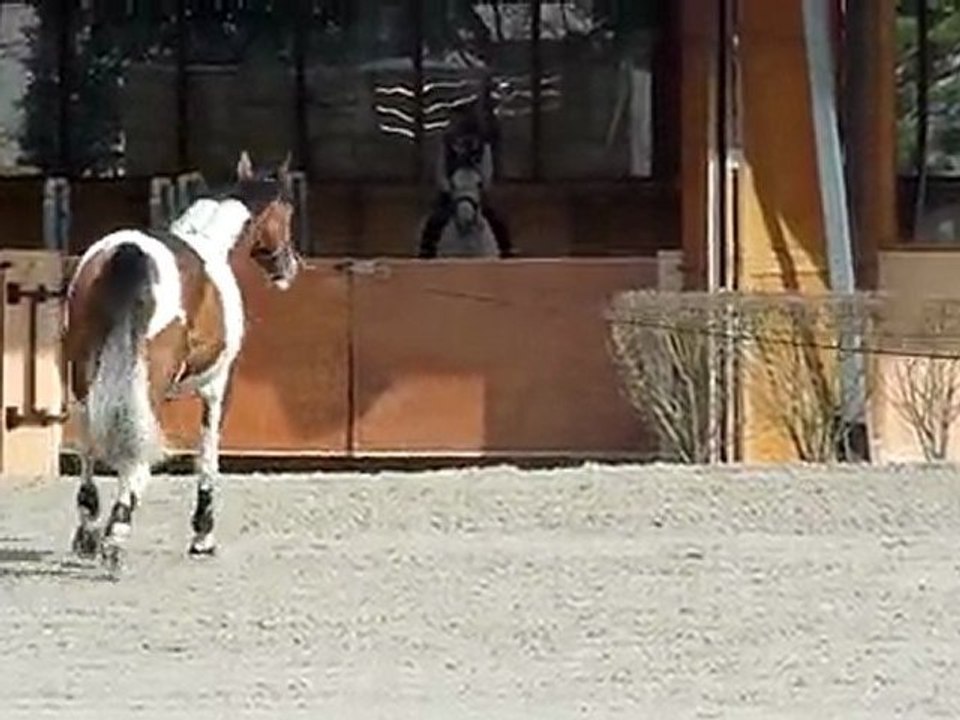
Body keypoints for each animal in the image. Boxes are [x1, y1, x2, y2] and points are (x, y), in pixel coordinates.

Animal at [63, 150, 299, 568]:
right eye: (287, 211)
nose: (289, 268)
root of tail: (128, 254)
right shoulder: (216, 388)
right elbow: (207, 455)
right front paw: (203, 535)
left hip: (82, 373)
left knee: (88, 443)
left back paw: (89, 532)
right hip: (146, 382)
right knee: (135, 452)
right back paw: (115, 534)